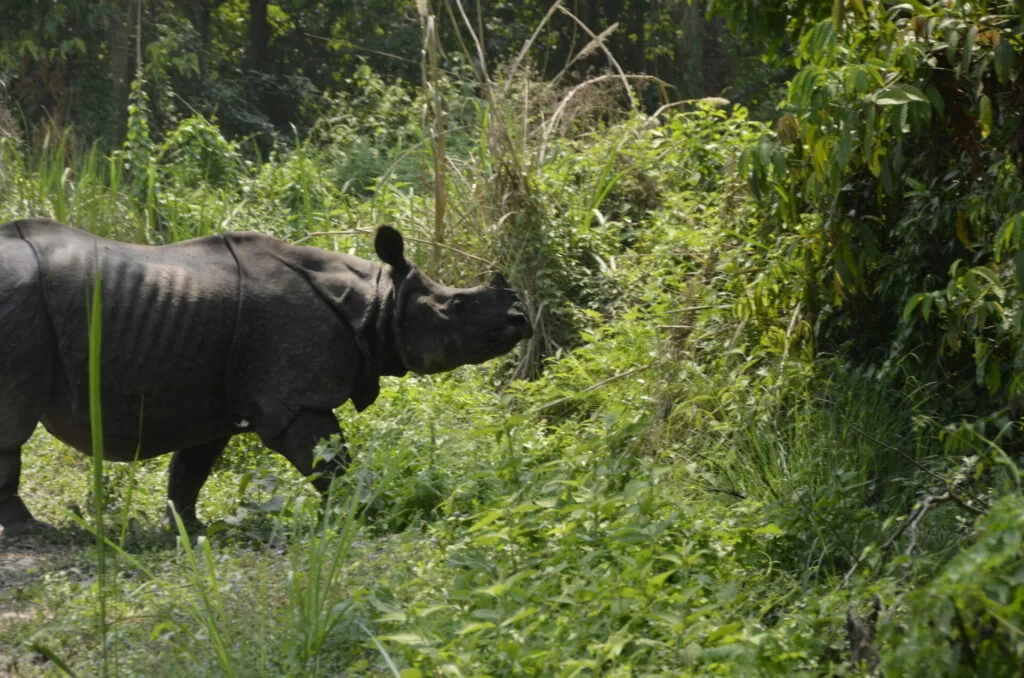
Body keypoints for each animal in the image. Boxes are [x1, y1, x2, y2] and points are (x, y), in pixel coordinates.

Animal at [0, 219, 532, 537]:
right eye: (456, 306)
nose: (520, 318)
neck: (377, 299)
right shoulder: (294, 399)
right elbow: (330, 460)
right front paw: (362, 513)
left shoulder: (212, 399)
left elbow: (190, 470)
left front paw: (189, 530)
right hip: (19, 301)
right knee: (13, 424)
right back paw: (29, 530)